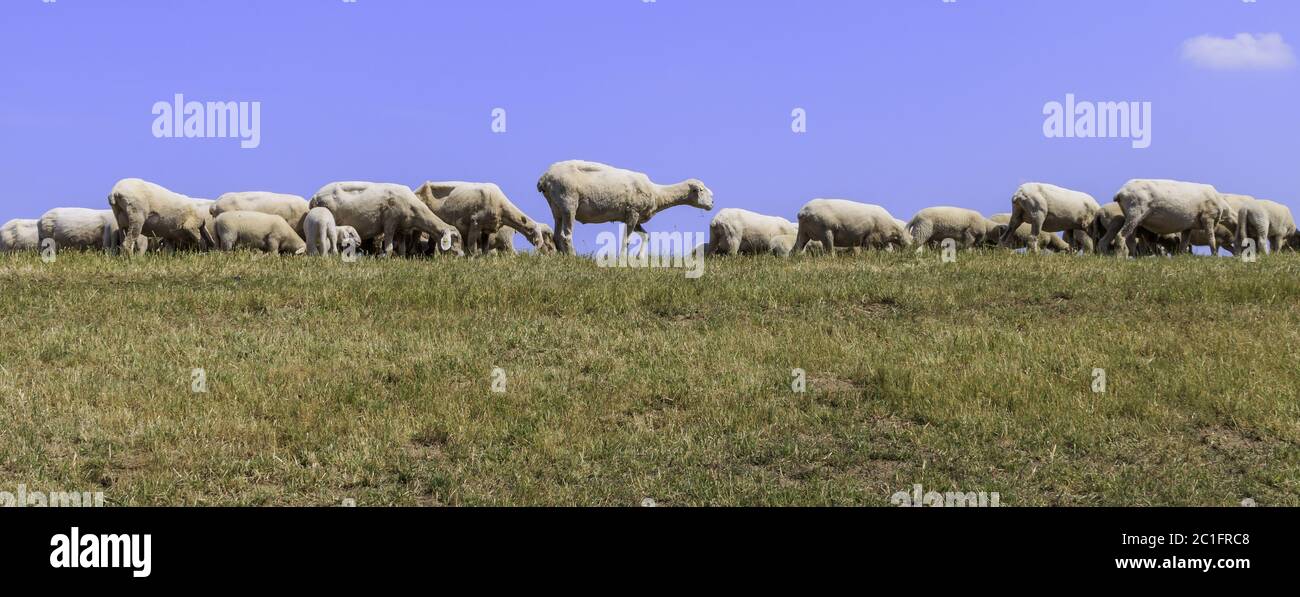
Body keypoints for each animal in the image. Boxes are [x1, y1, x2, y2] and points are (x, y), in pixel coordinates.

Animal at [308, 182, 462, 257]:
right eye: (455, 239)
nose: (461, 255)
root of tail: (314, 197)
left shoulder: (402, 228)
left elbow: (402, 249)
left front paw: (401, 260)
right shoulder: (390, 223)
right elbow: (389, 247)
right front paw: (385, 258)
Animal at [535, 161, 717, 257]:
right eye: (701, 190)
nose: (713, 202)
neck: (657, 193)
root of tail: (545, 178)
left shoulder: (635, 218)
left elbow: (646, 236)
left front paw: (639, 257)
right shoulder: (633, 212)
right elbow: (627, 240)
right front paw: (623, 258)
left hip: (556, 207)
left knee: (557, 234)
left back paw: (561, 256)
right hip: (568, 203)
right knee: (566, 235)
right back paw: (573, 256)